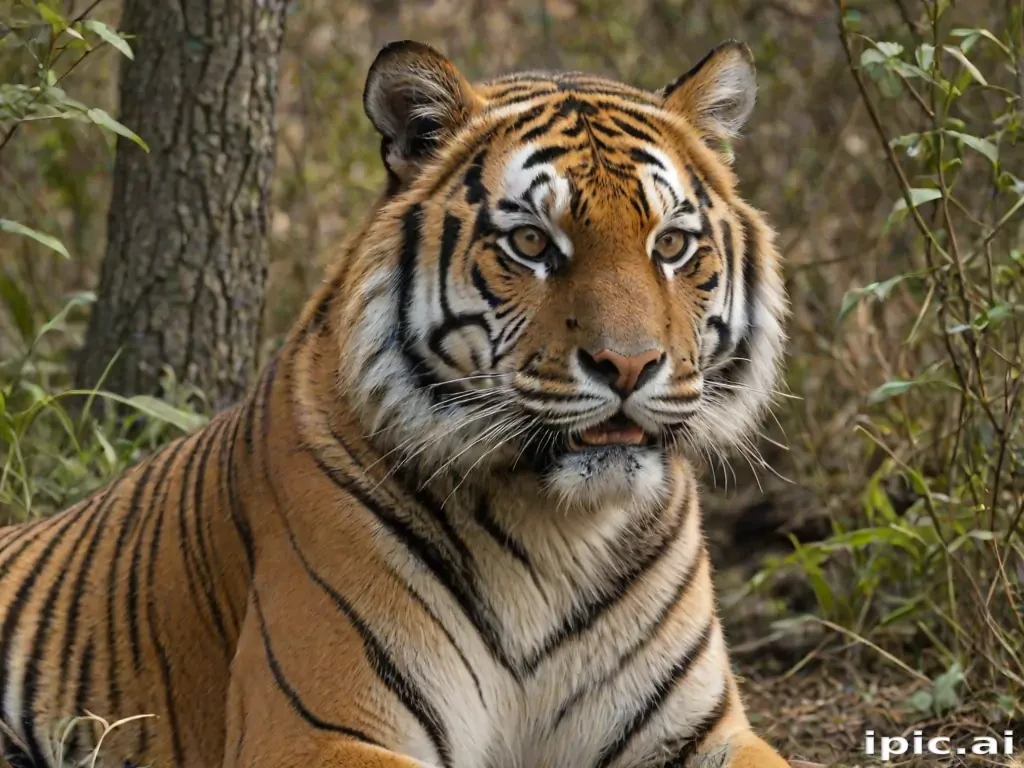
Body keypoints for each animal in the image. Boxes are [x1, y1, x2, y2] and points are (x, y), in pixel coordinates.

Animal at [0, 38, 790, 768]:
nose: (628, 365)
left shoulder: (701, 733)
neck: (559, 532)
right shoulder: (315, 731)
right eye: (532, 242)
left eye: (672, 244)